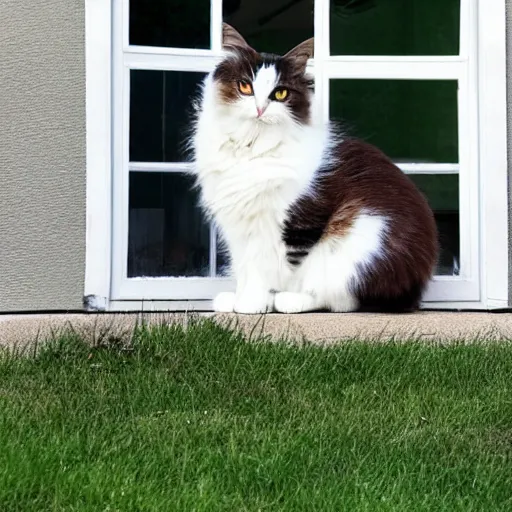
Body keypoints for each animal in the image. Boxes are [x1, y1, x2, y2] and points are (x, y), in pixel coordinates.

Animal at [190, 25, 438, 316]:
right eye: (245, 86)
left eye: (280, 94)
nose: (260, 108)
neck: (251, 149)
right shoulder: (238, 226)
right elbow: (245, 267)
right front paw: (239, 299)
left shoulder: (291, 223)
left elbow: (268, 269)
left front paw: (255, 303)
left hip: (358, 243)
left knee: (341, 299)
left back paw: (289, 300)